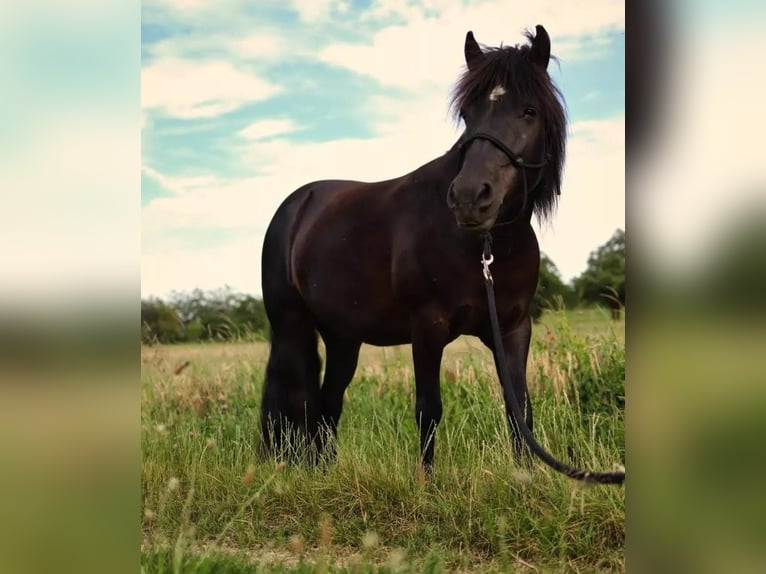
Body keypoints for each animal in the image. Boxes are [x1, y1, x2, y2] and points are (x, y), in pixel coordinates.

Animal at [260, 26, 624, 485]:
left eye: (528, 111)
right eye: (467, 114)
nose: (469, 198)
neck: (486, 247)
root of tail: (297, 205)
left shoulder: (514, 328)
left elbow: (518, 409)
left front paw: (524, 477)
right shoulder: (427, 328)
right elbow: (428, 410)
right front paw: (427, 486)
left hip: (344, 336)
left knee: (328, 406)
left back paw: (326, 474)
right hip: (291, 328)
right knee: (298, 403)